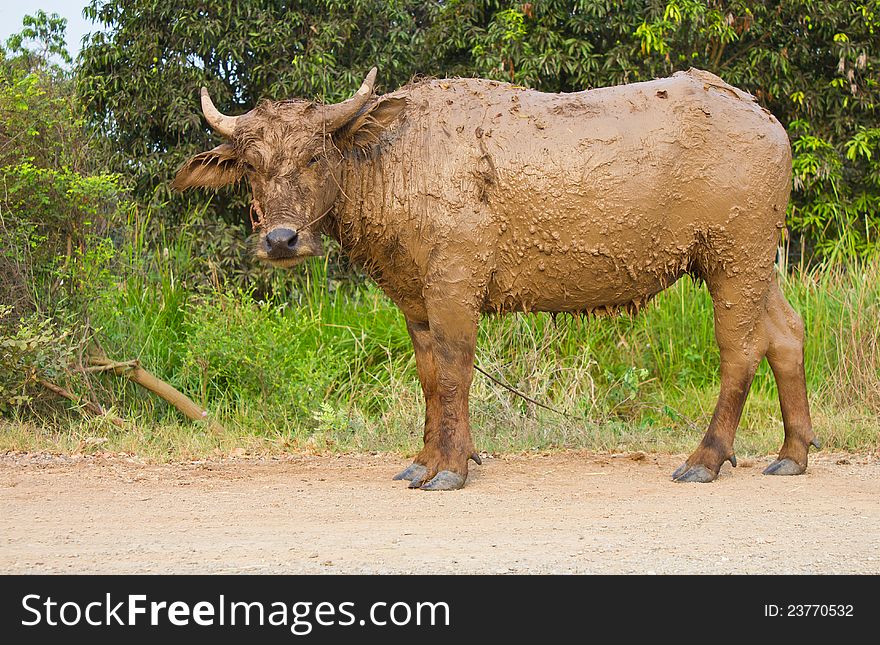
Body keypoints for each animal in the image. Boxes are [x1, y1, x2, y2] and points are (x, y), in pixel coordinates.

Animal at [172, 66, 820, 488]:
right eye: (250, 165)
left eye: (314, 155)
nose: (281, 240)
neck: (394, 160)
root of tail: (769, 122)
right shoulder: (415, 299)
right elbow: (430, 376)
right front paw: (425, 460)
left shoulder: (454, 286)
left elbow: (457, 368)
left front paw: (451, 469)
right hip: (753, 262)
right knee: (786, 332)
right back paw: (793, 452)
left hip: (734, 257)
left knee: (740, 347)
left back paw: (704, 460)